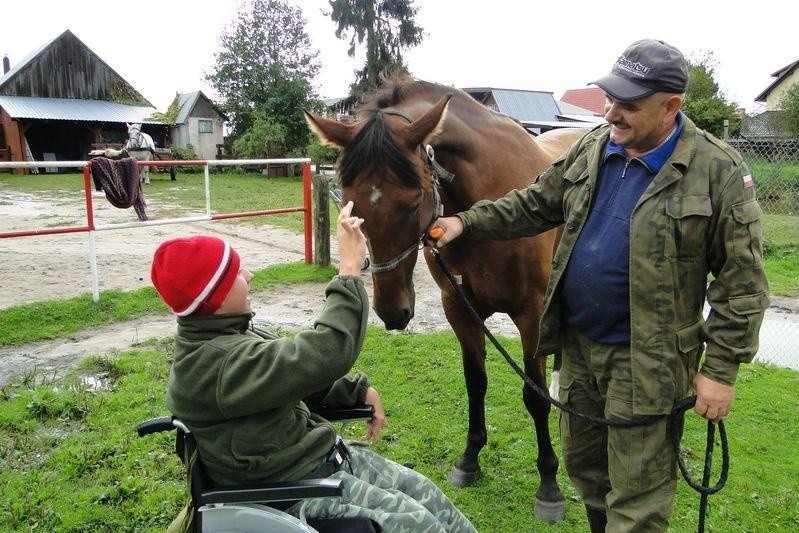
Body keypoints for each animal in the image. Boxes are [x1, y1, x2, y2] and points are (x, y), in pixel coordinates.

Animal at [306, 77, 588, 520]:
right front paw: (469, 460)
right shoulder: (458, 309)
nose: (393, 312)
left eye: (413, 201)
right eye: (349, 200)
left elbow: (533, 396)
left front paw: (549, 485)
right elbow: (476, 383)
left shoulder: (530, 313)